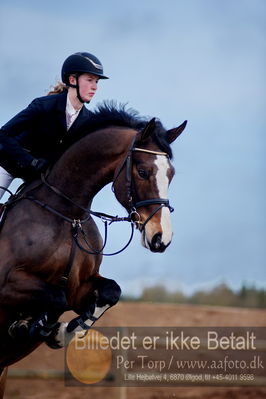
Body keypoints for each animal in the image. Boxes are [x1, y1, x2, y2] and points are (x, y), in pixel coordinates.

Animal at [0, 104, 186, 378]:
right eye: (143, 172)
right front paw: (29, 326)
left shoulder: (80, 287)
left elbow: (110, 292)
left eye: (170, 175)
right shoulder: (7, 284)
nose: (161, 238)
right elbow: (57, 297)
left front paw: (61, 332)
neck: (69, 215)